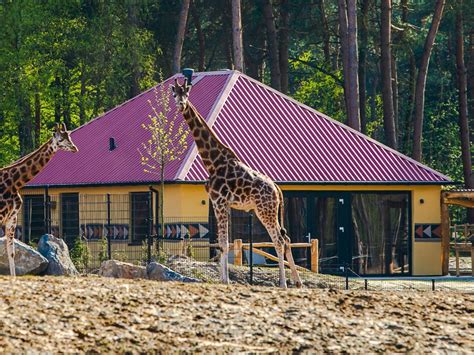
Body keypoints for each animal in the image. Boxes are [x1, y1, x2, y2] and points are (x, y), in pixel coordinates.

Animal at [0, 124, 78, 276]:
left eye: (69, 136)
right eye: (60, 139)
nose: (74, 148)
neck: (14, 183)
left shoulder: (12, 218)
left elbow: (11, 252)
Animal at [172, 78, 302, 290]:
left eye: (187, 93)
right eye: (175, 93)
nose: (181, 104)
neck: (212, 162)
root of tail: (277, 189)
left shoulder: (219, 202)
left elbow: (224, 243)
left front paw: (225, 280)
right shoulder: (220, 203)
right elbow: (222, 243)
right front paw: (223, 279)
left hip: (265, 210)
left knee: (279, 240)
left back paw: (283, 283)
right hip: (270, 210)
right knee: (286, 237)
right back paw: (297, 282)